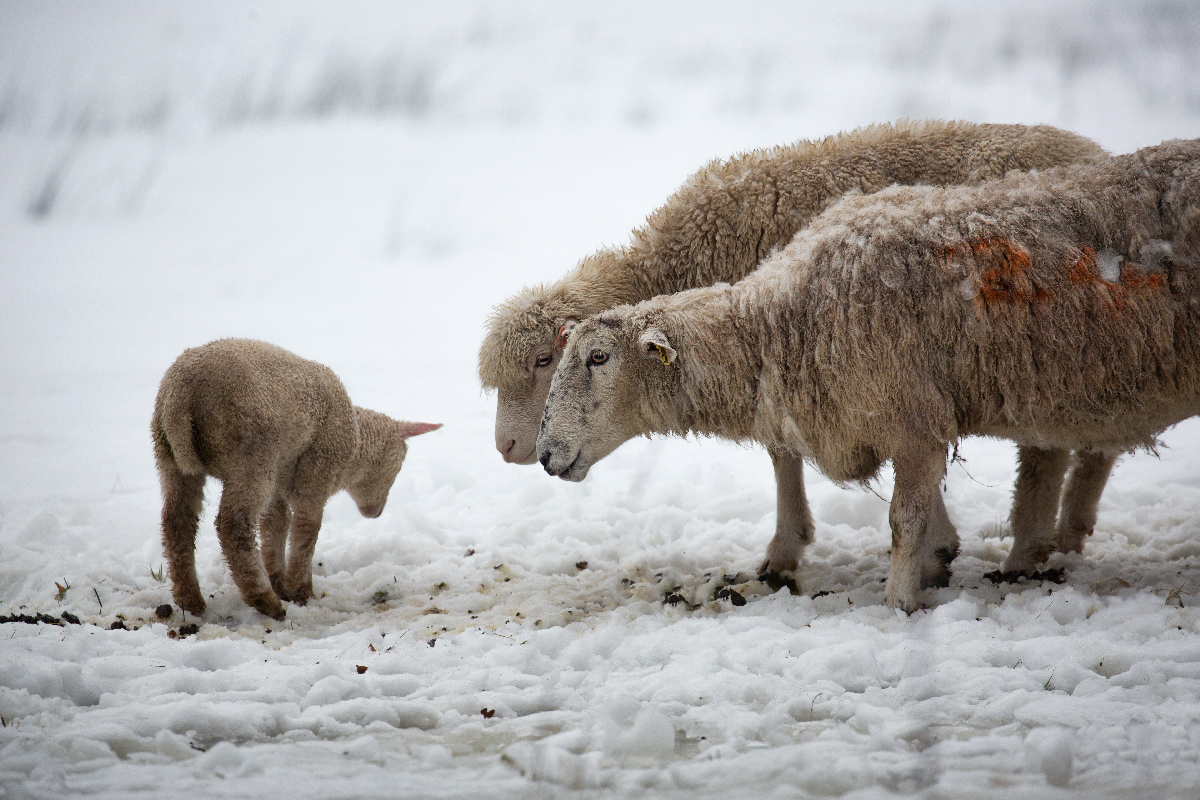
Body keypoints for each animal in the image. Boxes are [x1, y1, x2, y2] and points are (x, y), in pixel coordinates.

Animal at [150, 338, 441, 618]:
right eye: (399, 466)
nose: (375, 513)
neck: (356, 443)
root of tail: (182, 395)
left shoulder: (278, 481)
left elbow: (275, 524)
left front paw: (279, 580)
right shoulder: (319, 469)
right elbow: (306, 529)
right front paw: (302, 591)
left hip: (170, 456)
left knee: (177, 521)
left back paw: (190, 599)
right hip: (252, 454)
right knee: (233, 525)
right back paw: (264, 600)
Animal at [540, 137, 1200, 614]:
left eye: (598, 358)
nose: (546, 454)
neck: (779, 325)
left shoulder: (914, 419)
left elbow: (903, 520)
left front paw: (900, 600)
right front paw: (933, 568)